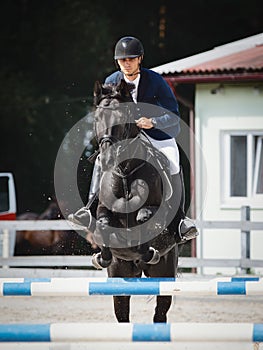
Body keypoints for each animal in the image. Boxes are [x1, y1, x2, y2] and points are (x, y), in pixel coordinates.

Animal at [91, 80, 179, 322]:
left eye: (122, 117)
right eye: (96, 118)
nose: (107, 158)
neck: (125, 171)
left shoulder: (157, 212)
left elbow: (144, 217)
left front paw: (147, 250)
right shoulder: (103, 210)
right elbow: (103, 224)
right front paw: (103, 256)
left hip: (165, 273)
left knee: (160, 312)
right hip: (120, 275)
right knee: (122, 313)